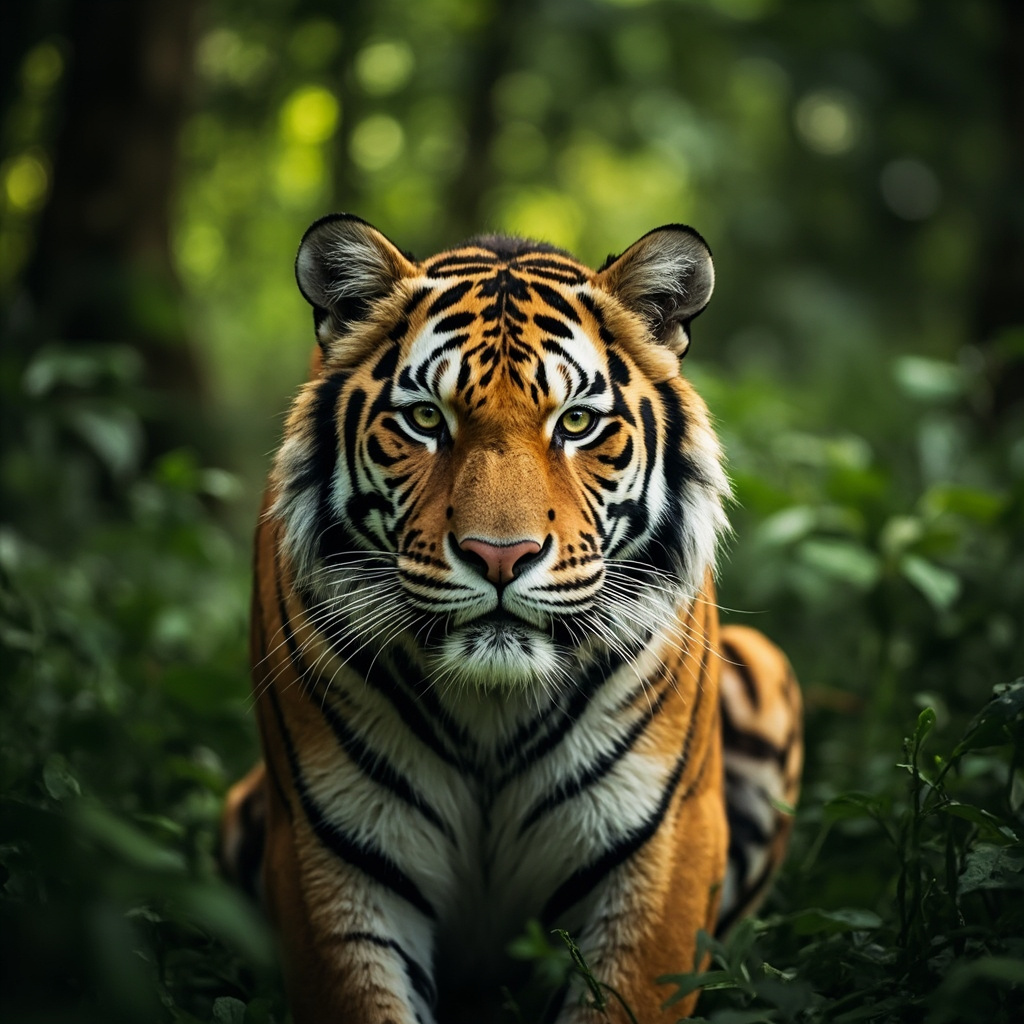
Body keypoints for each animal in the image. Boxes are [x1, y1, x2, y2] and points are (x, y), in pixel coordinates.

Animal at [220, 214, 803, 1023]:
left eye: (578, 423)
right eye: (425, 419)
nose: (501, 556)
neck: (491, 714)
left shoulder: (665, 844)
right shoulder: (327, 848)